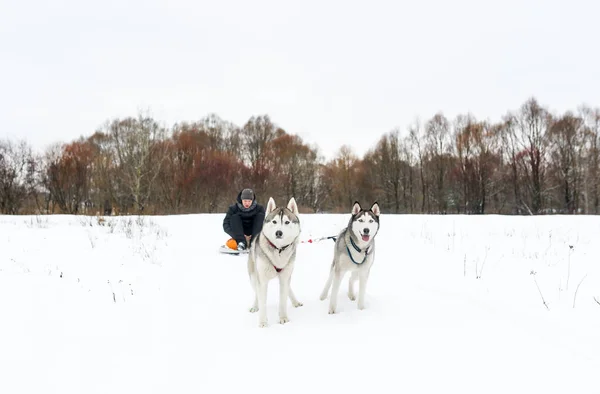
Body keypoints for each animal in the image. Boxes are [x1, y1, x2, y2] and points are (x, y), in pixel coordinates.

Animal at [248, 196, 304, 326]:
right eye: (274, 222)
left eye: (287, 222)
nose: (278, 232)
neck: (278, 250)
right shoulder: (262, 279)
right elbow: (262, 300)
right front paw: (263, 322)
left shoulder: (285, 276)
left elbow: (283, 299)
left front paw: (283, 318)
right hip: (253, 276)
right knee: (256, 293)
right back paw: (255, 306)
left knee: (288, 288)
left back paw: (295, 301)